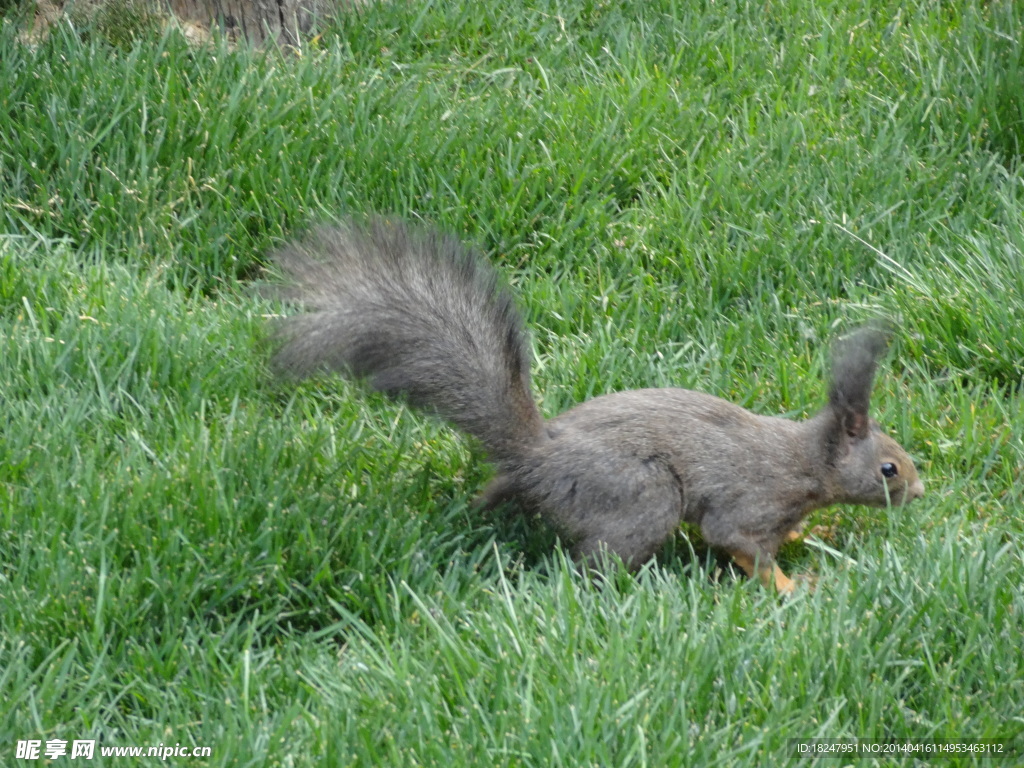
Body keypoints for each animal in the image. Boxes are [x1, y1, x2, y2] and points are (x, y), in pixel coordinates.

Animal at [266, 217, 929, 593]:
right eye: (888, 468)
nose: (920, 492)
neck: (807, 460)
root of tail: (538, 458)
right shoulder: (752, 503)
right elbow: (741, 546)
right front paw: (796, 586)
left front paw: (810, 536)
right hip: (643, 496)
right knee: (596, 564)